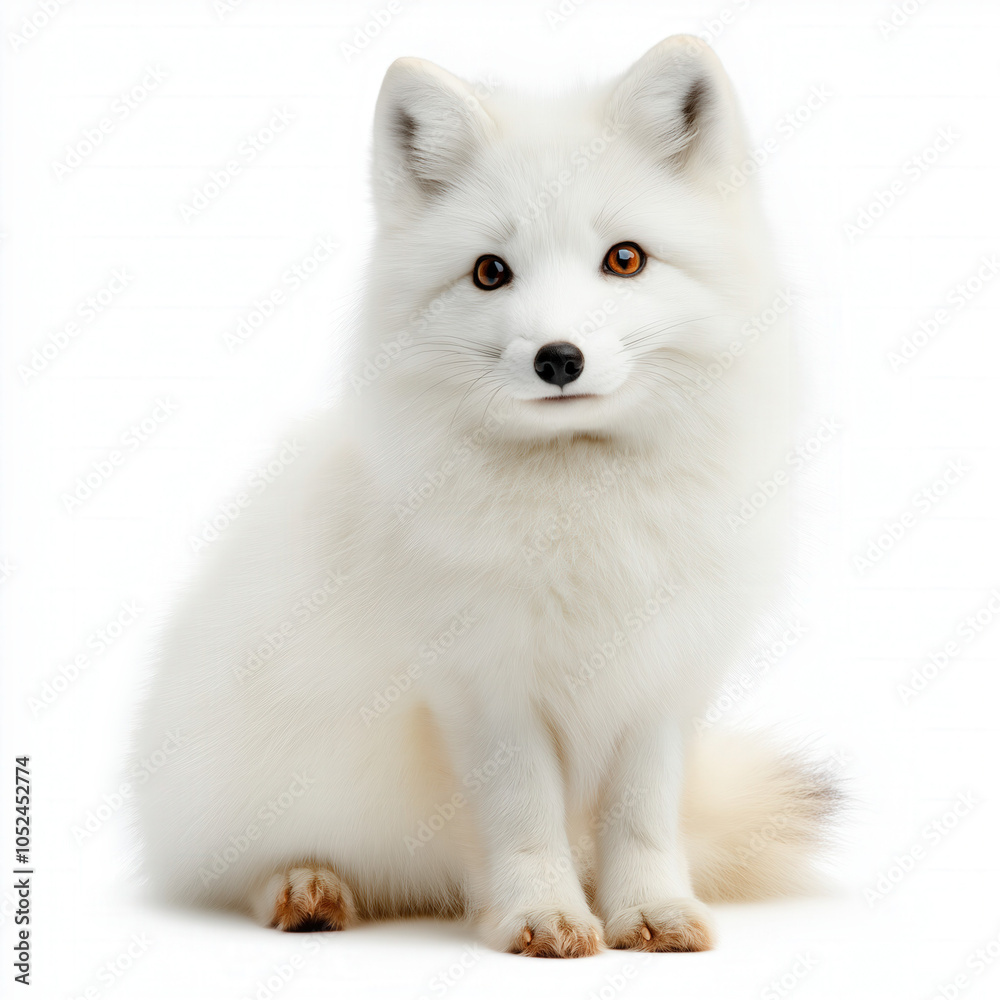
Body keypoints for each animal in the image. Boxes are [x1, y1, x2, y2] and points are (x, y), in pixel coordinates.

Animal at [133, 35, 838, 958]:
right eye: (490, 272)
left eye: (625, 258)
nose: (558, 358)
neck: (582, 510)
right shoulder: (481, 686)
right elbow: (525, 821)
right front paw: (542, 914)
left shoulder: (663, 676)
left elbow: (644, 819)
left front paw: (649, 911)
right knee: (231, 870)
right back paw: (306, 887)